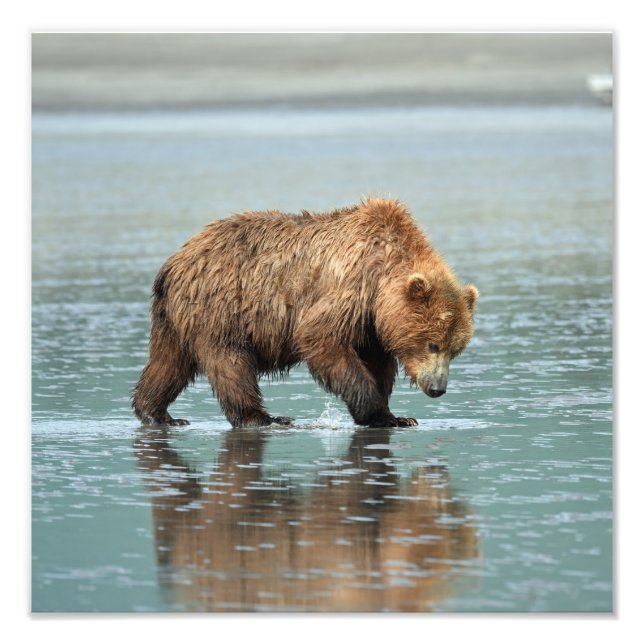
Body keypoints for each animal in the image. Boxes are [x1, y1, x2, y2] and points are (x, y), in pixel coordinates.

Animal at [132, 198, 478, 428]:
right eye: (433, 344)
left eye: (455, 349)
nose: (437, 388)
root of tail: (175, 261)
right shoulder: (349, 290)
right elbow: (322, 340)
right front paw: (379, 412)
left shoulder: (372, 325)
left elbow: (378, 363)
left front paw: (397, 415)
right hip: (221, 306)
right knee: (230, 363)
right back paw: (264, 417)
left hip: (176, 317)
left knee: (169, 362)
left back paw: (157, 413)